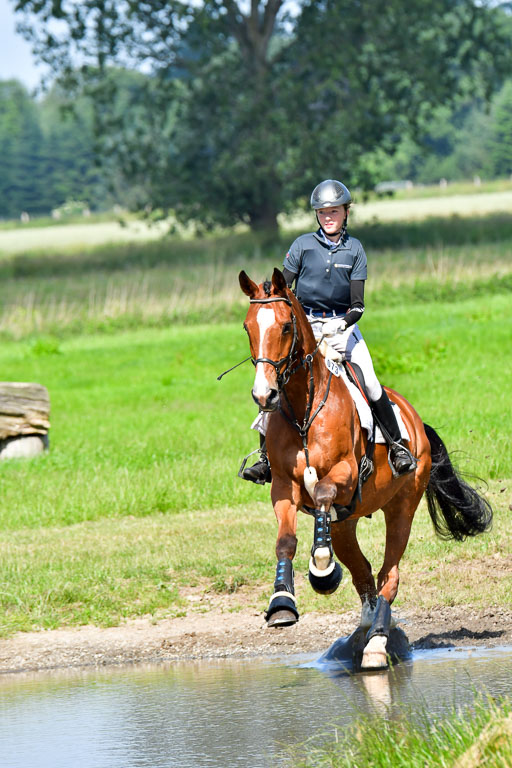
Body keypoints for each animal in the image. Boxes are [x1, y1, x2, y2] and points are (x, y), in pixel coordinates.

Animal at [239, 267, 492, 670]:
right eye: (248, 327)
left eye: (285, 327)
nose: (265, 396)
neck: (304, 409)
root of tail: (417, 422)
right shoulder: (283, 487)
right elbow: (286, 541)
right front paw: (282, 603)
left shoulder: (345, 474)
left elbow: (323, 491)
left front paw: (322, 568)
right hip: (347, 523)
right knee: (363, 574)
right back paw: (362, 632)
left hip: (401, 507)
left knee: (389, 574)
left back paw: (375, 644)